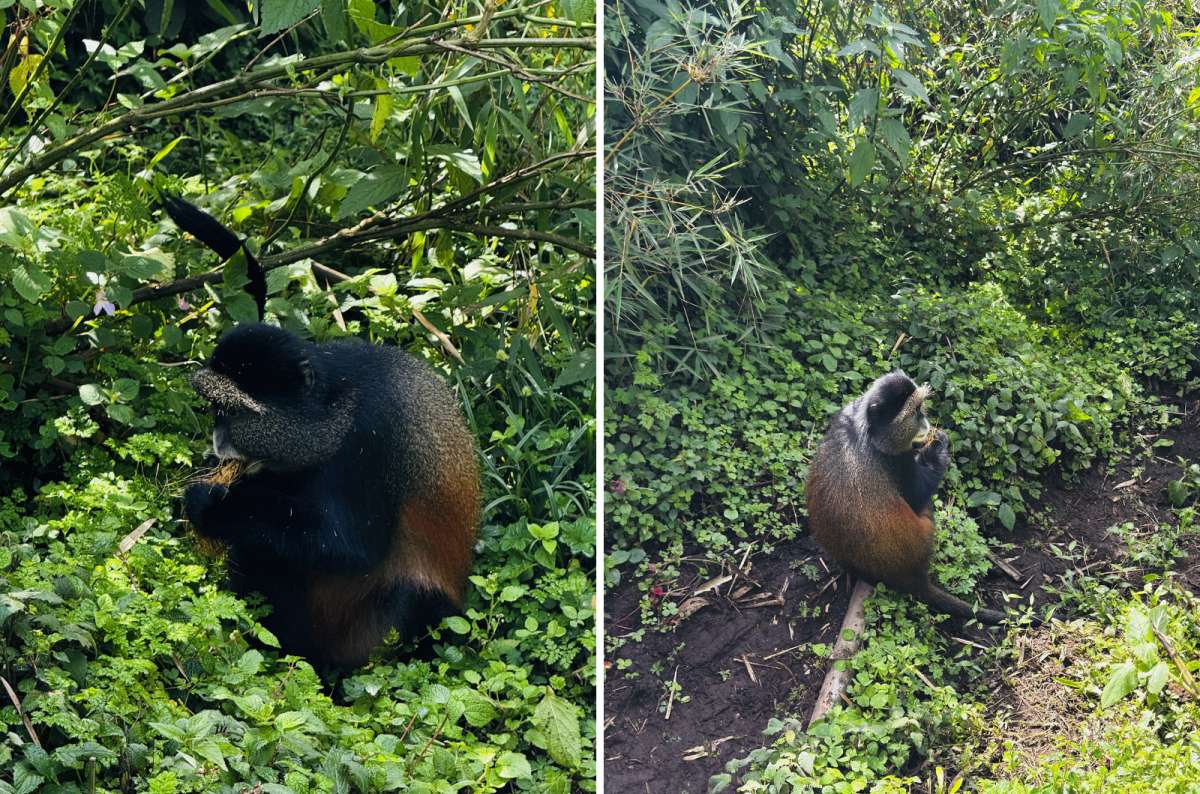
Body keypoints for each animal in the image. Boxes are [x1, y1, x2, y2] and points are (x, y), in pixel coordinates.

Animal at [805, 371, 1005, 624]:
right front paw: (936, 448)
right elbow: (918, 495)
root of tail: (913, 578)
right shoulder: (898, 459)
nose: (925, 422)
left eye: (921, 408)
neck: (865, 430)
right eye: (916, 412)